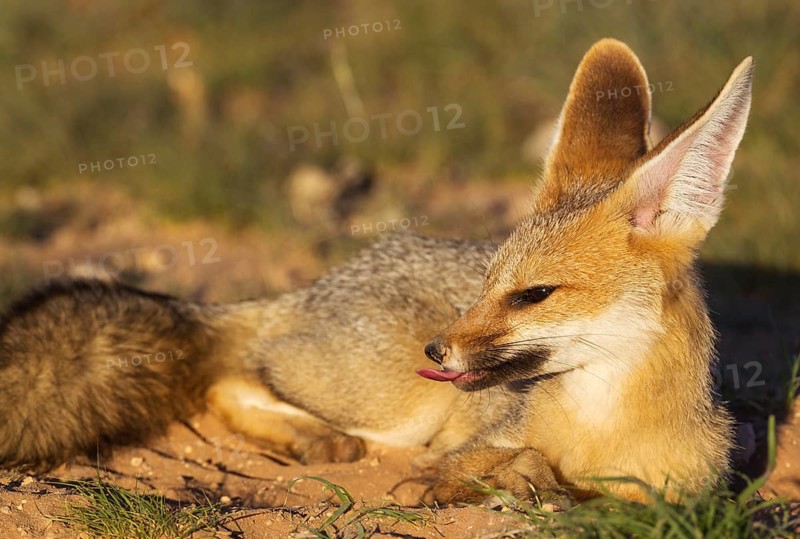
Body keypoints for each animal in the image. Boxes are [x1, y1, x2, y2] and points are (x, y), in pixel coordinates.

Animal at [0, 39, 752, 506]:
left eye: (533, 294)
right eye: (488, 284)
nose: (438, 347)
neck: (603, 429)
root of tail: (315, 285)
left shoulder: (680, 497)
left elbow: (581, 489)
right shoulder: (473, 438)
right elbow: (484, 465)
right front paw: (463, 484)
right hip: (401, 409)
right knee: (229, 378)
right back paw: (311, 434)